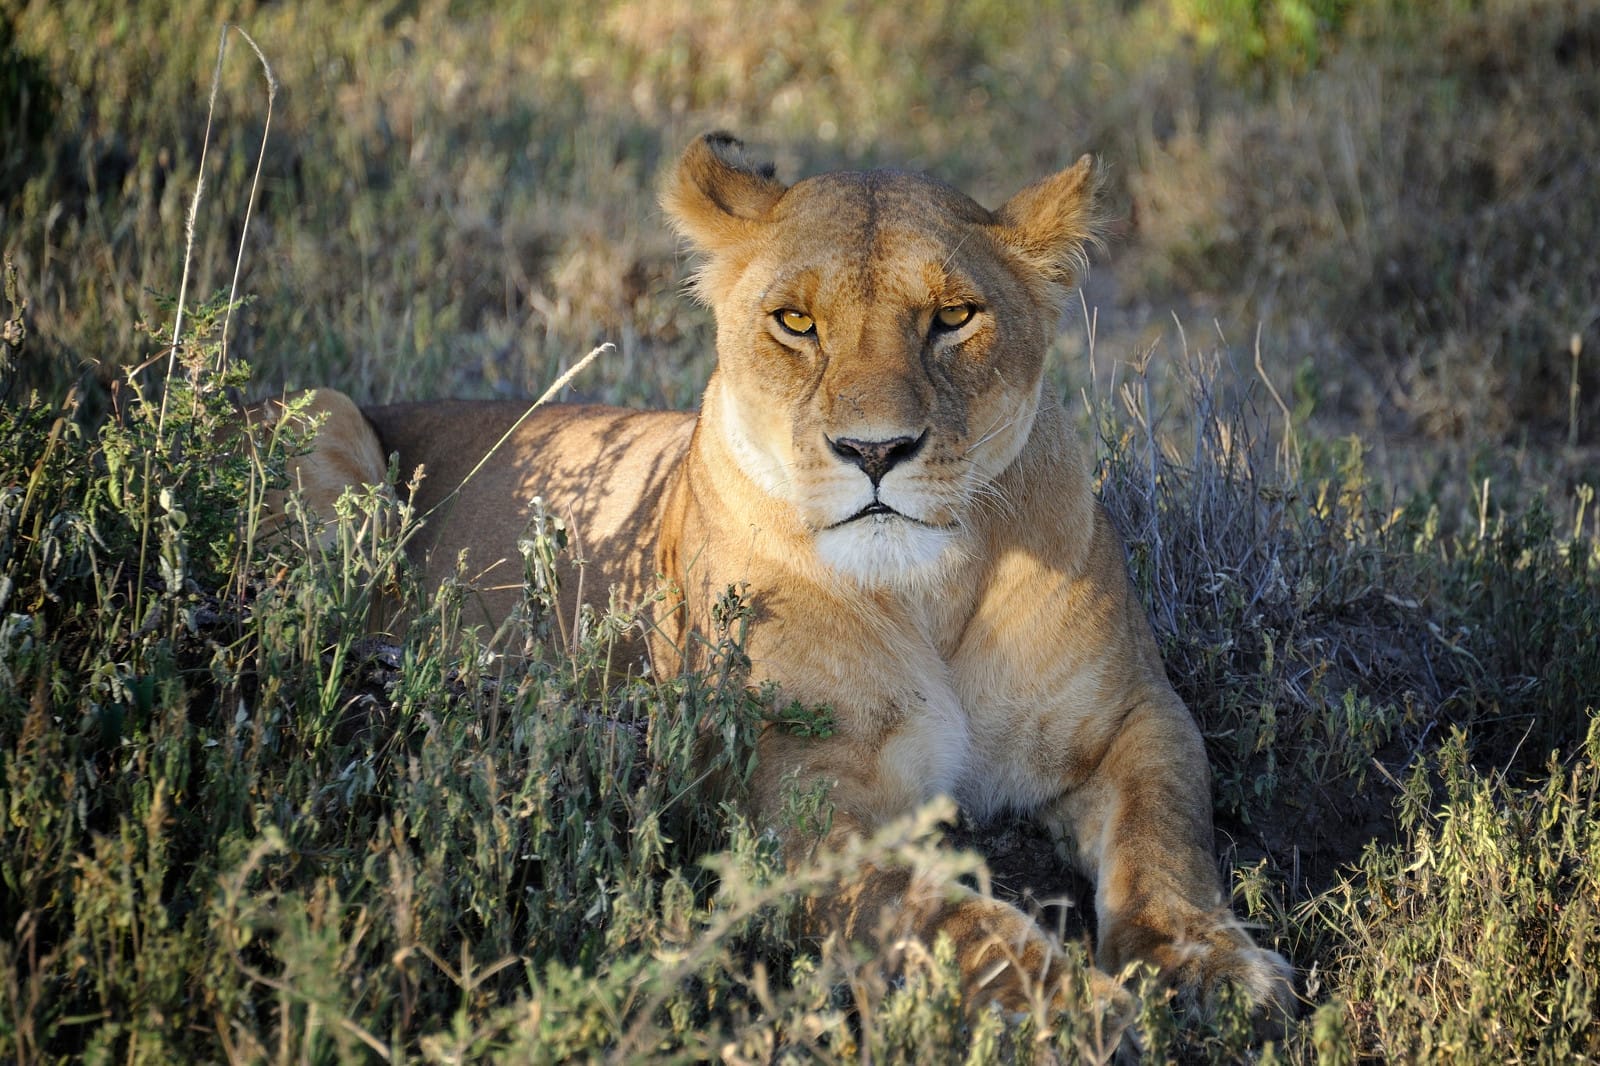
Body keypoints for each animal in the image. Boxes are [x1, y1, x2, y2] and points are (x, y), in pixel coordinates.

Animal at [254, 132, 1295, 1026]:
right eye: (797, 323)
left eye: (954, 317)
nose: (875, 451)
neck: (926, 595)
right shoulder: (793, 795)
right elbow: (933, 913)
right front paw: (1067, 1004)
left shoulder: (1134, 714)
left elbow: (1168, 834)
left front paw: (1207, 964)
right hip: (326, 416)